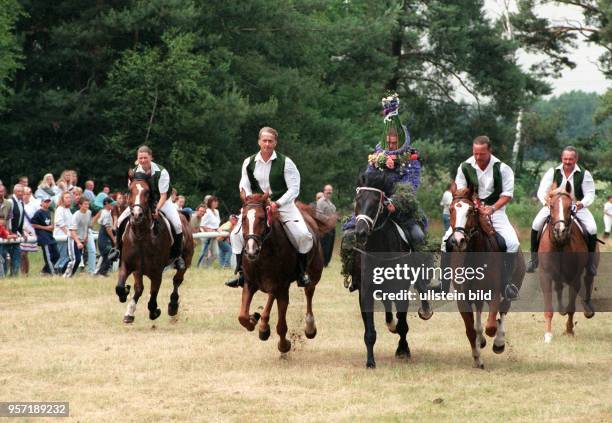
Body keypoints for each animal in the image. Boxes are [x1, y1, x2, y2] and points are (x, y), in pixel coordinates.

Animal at [113, 176, 192, 324]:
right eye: (129, 190)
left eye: (147, 192)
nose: (136, 215)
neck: (141, 236)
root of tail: (183, 216)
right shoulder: (130, 266)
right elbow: (122, 287)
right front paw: (125, 296)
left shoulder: (156, 272)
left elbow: (153, 294)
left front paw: (154, 311)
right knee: (140, 288)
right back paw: (130, 311)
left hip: (186, 260)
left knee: (177, 280)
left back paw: (173, 306)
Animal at [235, 192, 334, 354]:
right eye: (243, 218)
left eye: (261, 218)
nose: (251, 251)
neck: (264, 254)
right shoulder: (250, 284)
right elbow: (242, 316)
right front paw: (253, 319)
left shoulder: (282, 288)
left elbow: (281, 326)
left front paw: (284, 345)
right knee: (271, 296)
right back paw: (263, 326)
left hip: (314, 272)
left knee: (309, 292)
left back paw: (309, 327)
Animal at [346, 171, 432, 370]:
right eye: (357, 200)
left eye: (375, 202)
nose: (361, 233)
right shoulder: (365, 292)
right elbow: (370, 332)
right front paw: (370, 362)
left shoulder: (401, 290)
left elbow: (403, 325)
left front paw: (403, 351)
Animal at [444, 185, 524, 368]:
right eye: (451, 209)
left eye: (471, 211)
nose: (458, 240)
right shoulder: (463, 298)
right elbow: (470, 330)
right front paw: (477, 358)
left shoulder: (493, 293)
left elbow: (491, 326)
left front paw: (495, 343)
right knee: (480, 314)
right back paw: (481, 340)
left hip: (512, 286)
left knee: (503, 309)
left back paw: (499, 342)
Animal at [540, 182, 596, 344]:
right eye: (552, 205)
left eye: (569, 206)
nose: (560, 231)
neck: (560, 245)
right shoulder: (545, 275)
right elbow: (549, 307)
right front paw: (548, 335)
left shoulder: (574, 277)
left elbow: (572, 306)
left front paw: (570, 330)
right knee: (559, 287)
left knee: (588, 279)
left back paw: (588, 309)